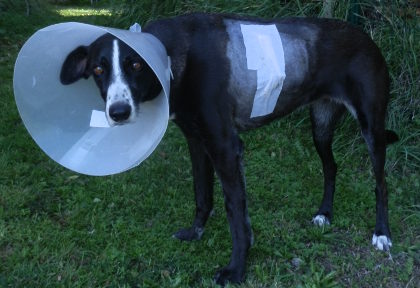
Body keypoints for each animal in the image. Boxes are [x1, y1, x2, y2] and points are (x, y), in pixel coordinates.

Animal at [59, 12, 398, 286]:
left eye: (135, 64)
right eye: (98, 70)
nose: (118, 112)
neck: (174, 56)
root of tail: (366, 37)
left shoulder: (226, 147)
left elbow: (235, 214)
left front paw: (236, 270)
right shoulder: (197, 143)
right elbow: (202, 195)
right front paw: (195, 233)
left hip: (371, 127)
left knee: (381, 183)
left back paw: (382, 233)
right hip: (321, 127)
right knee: (331, 166)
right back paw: (324, 214)